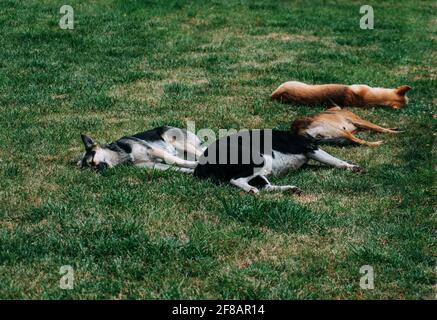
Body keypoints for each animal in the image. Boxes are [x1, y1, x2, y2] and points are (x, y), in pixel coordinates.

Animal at [194, 129, 362, 194]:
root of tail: (201, 166)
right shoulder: (311, 149)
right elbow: (336, 161)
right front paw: (352, 167)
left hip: (260, 173)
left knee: (267, 187)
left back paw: (290, 189)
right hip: (256, 160)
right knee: (236, 180)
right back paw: (251, 190)